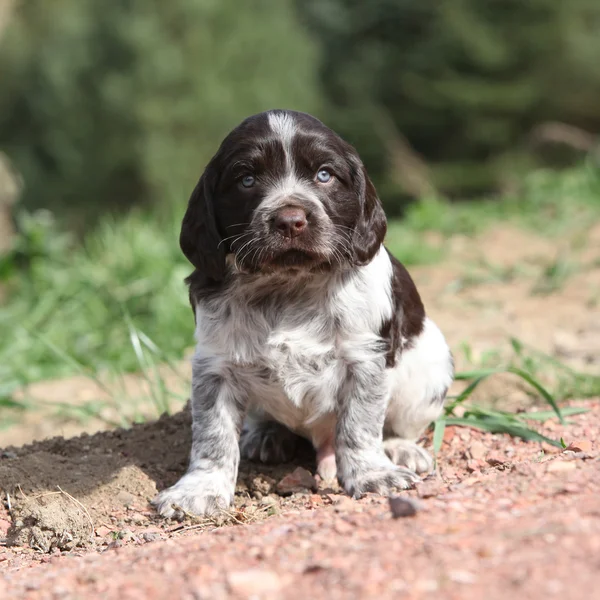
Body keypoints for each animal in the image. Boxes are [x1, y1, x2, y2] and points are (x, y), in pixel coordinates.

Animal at [152, 110, 452, 516]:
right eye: (246, 180)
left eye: (324, 175)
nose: (290, 220)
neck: (289, 286)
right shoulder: (214, 365)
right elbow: (213, 436)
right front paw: (199, 490)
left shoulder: (365, 358)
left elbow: (359, 425)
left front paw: (372, 474)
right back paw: (266, 434)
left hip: (430, 365)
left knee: (396, 423)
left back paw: (399, 448)